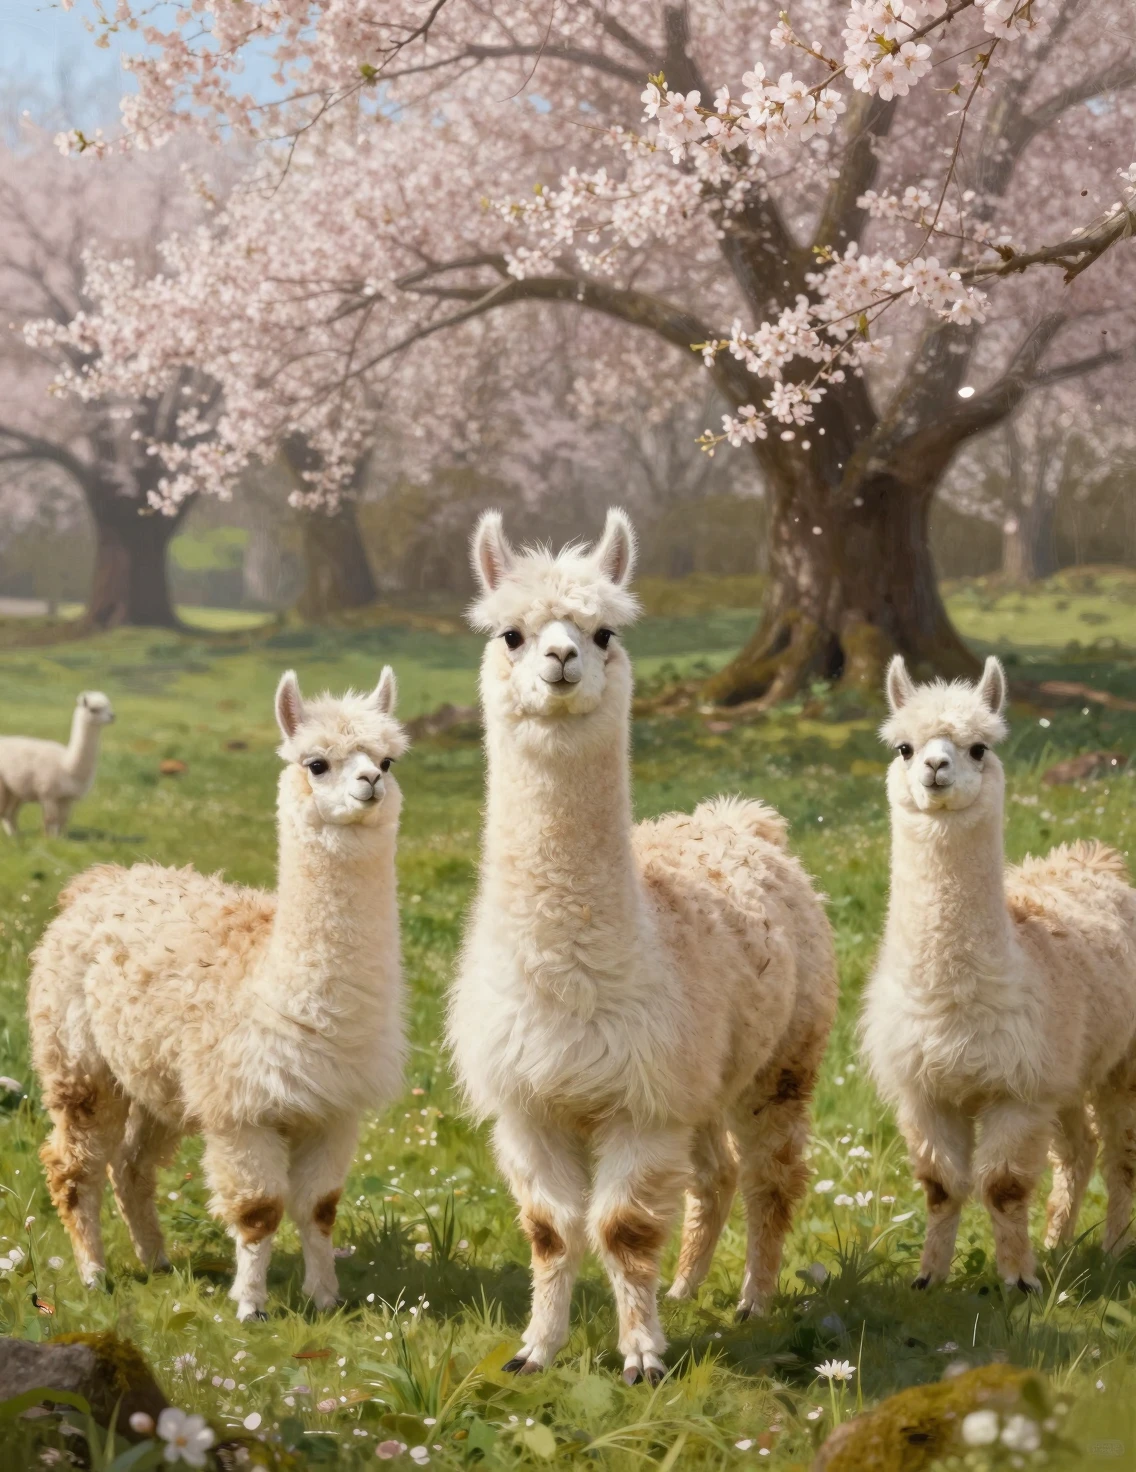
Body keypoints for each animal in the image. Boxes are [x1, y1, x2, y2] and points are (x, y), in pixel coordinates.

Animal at [0, 691, 115, 836]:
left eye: (109, 706)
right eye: (93, 709)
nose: (112, 716)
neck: (66, 766)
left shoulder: (67, 798)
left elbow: (63, 820)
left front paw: (60, 838)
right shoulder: (48, 793)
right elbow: (51, 819)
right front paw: (49, 838)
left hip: (15, 789)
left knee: (9, 814)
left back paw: (15, 836)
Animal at [27, 668, 407, 1319]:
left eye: (387, 758)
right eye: (316, 763)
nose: (371, 784)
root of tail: (97, 882)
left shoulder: (331, 1108)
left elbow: (320, 1208)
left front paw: (325, 1298)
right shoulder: (241, 1108)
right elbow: (259, 1211)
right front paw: (251, 1305)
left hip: (160, 1079)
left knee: (131, 1165)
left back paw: (155, 1258)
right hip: (78, 1058)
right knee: (73, 1165)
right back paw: (93, 1272)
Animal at [447, 508, 838, 1383]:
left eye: (605, 632)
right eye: (511, 634)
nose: (562, 660)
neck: (569, 980)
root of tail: (739, 818)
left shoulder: (641, 1099)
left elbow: (622, 1229)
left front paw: (644, 1358)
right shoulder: (533, 1103)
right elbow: (551, 1229)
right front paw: (536, 1351)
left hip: (783, 1057)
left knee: (771, 1175)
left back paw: (754, 1298)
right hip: (704, 1074)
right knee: (716, 1174)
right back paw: (689, 1286)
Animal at [861, 655, 1136, 1291]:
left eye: (979, 747)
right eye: (905, 748)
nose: (936, 767)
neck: (953, 1001)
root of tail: (1092, 858)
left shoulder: (1018, 1088)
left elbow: (1003, 1186)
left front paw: (1019, 1282)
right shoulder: (928, 1091)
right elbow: (941, 1187)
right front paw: (929, 1279)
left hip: (1119, 1060)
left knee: (1119, 1154)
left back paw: (1113, 1249)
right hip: (1067, 1068)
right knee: (1079, 1150)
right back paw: (1059, 1244)